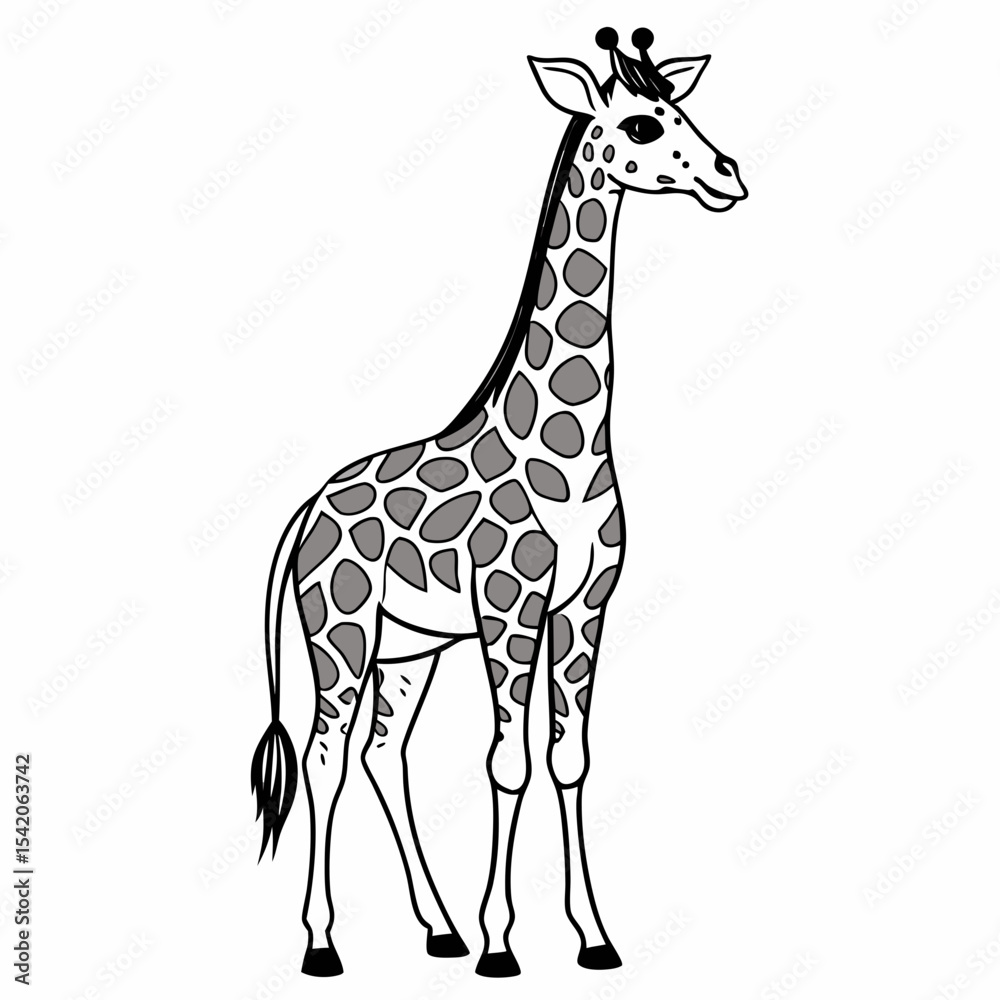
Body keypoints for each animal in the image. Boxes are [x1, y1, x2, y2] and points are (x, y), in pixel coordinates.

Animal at [251, 26, 747, 978]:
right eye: (640, 124)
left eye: (683, 108)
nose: (729, 174)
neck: (566, 447)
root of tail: (305, 511)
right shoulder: (509, 606)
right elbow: (507, 761)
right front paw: (500, 944)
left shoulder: (586, 604)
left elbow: (568, 758)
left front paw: (592, 936)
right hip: (340, 629)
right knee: (328, 756)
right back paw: (325, 943)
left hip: (409, 649)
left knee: (383, 753)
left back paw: (436, 927)